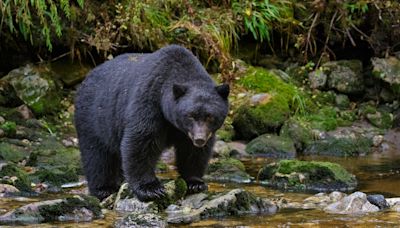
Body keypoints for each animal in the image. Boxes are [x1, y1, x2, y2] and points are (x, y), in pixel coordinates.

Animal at [74, 45, 230, 201]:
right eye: (190, 115)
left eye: (210, 116)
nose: (199, 139)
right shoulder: (150, 100)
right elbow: (141, 141)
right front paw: (150, 188)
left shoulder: (188, 133)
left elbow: (192, 151)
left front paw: (195, 182)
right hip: (94, 118)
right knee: (97, 156)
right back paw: (104, 188)